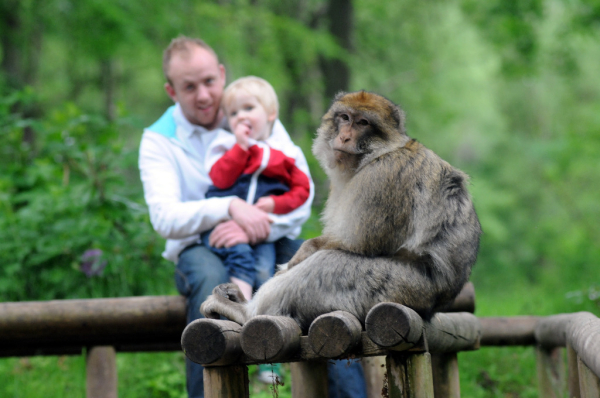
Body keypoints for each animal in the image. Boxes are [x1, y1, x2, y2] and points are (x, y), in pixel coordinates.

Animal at [202, 91, 482, 332]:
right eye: (345, 118)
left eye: (363, 122)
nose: (345, 137)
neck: (376, 155)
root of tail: (433, 305)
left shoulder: (384, 177)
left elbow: (358, 243)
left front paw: (301, 254)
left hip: (396, 288)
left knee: (328, 263)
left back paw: (245, 312)